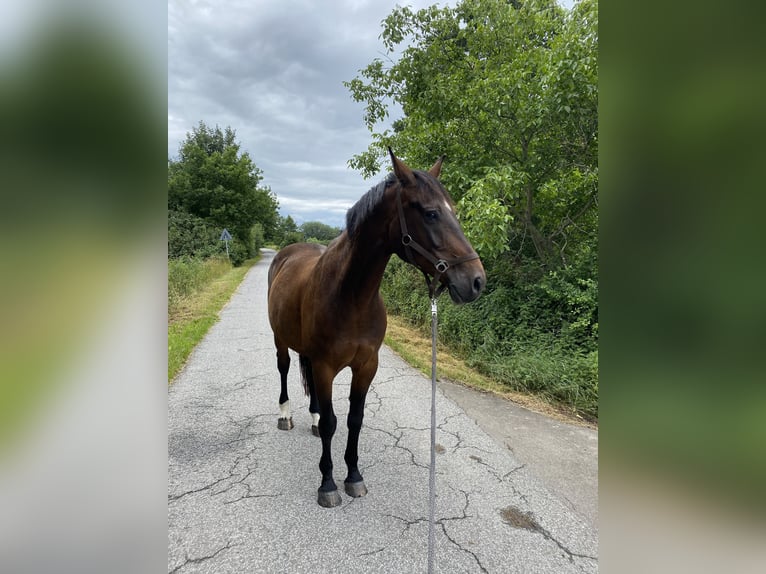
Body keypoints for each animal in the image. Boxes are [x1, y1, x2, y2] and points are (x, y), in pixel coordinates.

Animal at [268, 150, 486, 508]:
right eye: (430, 213)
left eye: (453, 210)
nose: (476, 281)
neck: (351, 297)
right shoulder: (326, 366)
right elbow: (332, 423)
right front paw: (328, 484)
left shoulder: (367, 365)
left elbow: (354, 420)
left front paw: (354, 476)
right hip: (280, 340)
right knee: (285, 369)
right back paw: (285, 415)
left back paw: (311, 418)